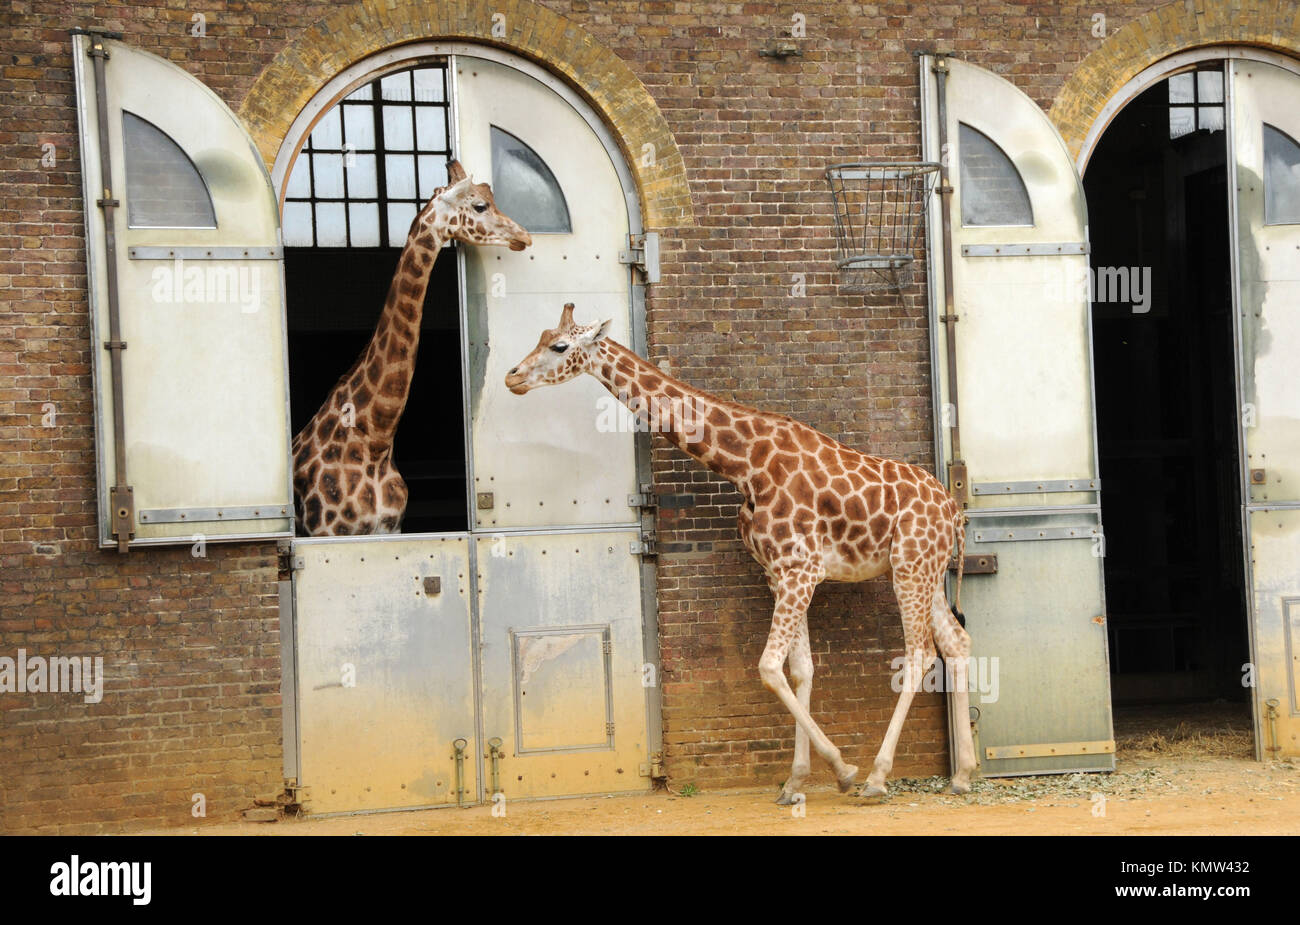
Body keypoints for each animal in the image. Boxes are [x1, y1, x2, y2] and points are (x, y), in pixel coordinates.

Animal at [504, 304, 978, 802]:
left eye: (560, 346)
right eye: (542, 336)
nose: (511, 377)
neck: (745, 465)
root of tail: (953, 510)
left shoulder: (800, 570)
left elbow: (769, 666)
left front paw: (842, 768)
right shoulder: (779, 572)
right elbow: (800, 669)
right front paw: (796, 780)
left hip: (911, 567)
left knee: (919, 653)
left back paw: (877, 776)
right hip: (924, 569)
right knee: (955, 642)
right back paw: (963, 773)